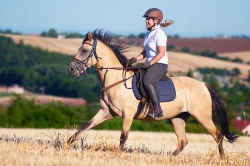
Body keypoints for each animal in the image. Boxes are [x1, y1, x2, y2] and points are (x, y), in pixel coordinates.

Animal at [67, 29, 238, 156]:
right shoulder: (106, 111)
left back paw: (222, 158)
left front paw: (116, 154)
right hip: (178, 118)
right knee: (183, 141)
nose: (70, 70)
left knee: (217, 135)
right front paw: (67, 143)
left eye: (84, 50)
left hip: (202, 116)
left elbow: (123, 136)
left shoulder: (128, 114)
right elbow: (85, 126)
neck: (116, 80)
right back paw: (169, 158)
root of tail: (203, 84)